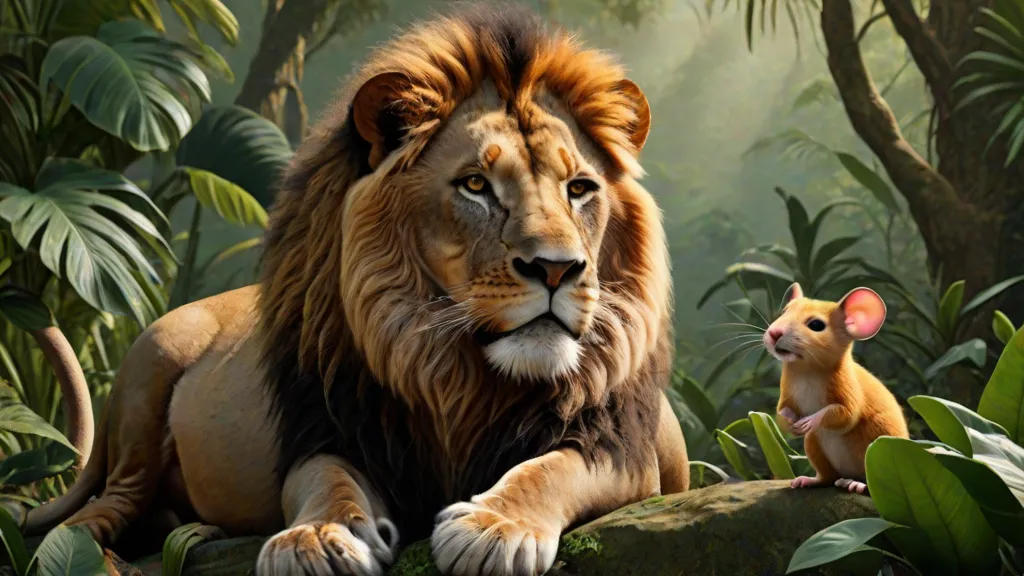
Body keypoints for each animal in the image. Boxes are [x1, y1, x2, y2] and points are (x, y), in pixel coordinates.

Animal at [23, 5, 688, 575]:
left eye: (579, 189)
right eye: (476, 185)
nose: (557, 269)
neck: (461, 376)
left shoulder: (625, 450)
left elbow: (551, 468)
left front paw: (495, 526)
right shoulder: (330, 431)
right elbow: (328, 481)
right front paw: (319, 537)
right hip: (149, 363)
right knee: (103, 506)